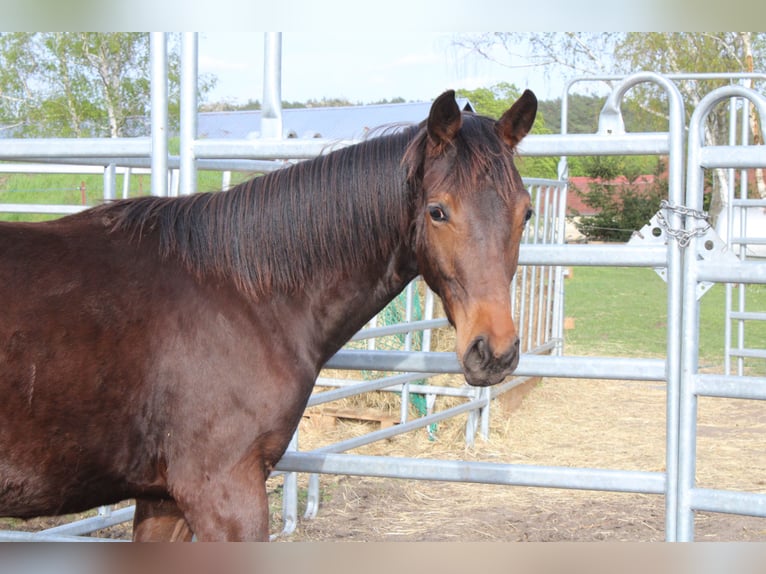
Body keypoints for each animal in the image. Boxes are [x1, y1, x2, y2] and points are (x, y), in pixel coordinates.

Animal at [0, 89, 536, 540]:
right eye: (437, 211)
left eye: (526, 213)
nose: (494, 351)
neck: (241, 295)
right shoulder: (224, 493)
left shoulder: (163, 499)